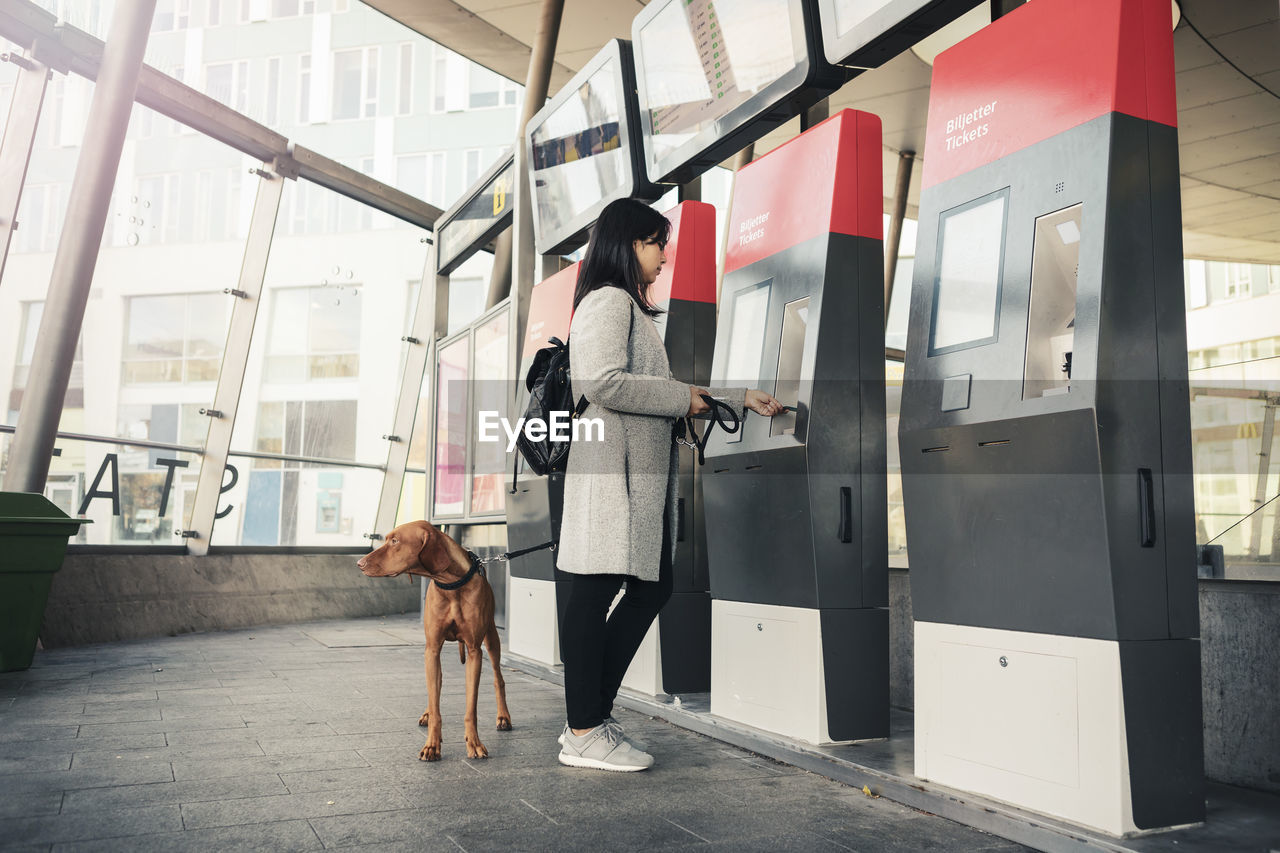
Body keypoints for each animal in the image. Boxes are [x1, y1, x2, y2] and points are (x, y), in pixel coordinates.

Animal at [358, 517, 512, 758]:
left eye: (395, 541)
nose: (360, 563)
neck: (450, 584)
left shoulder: (474, 651)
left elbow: (471, 707)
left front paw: (474, 743)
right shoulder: (431, 649)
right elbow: (435, 698)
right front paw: (432, 745)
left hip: (492, 638)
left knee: (499, 679)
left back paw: (504, 717)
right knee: (435, 689)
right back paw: (427, 713)